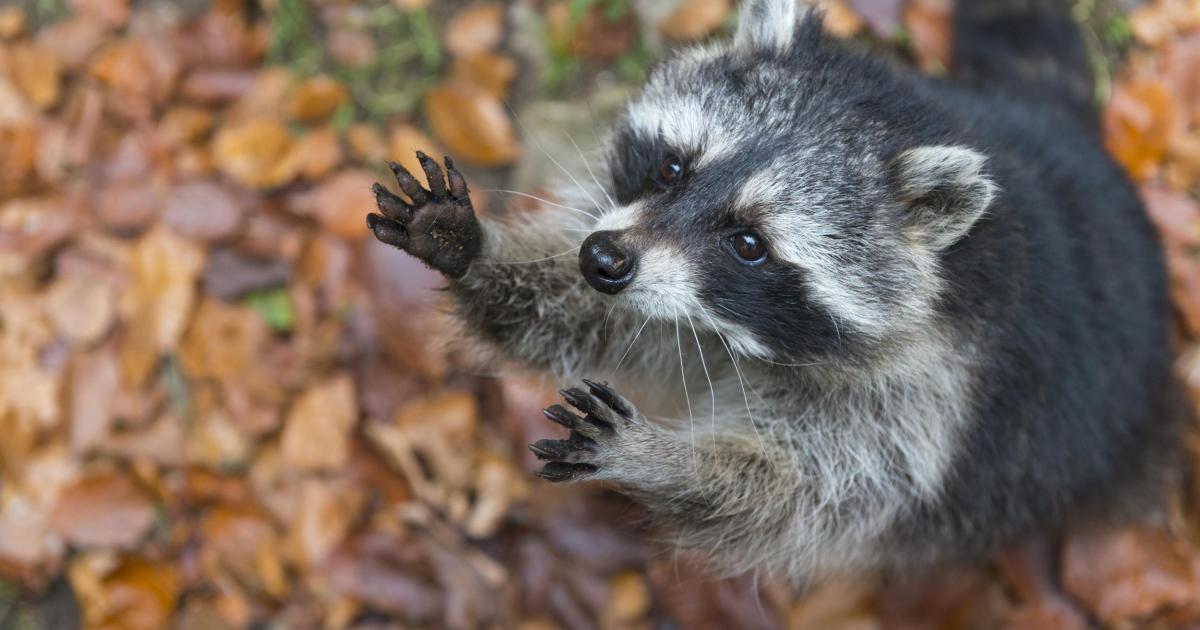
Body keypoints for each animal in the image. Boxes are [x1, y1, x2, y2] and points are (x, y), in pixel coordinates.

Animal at [364, 0, 1180, 580]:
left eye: (749, 244)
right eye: (673, 167)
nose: (602, 260)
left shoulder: (932, 395)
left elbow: (801, 496)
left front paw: (666, 461)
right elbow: (586, 320)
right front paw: (471, 251)